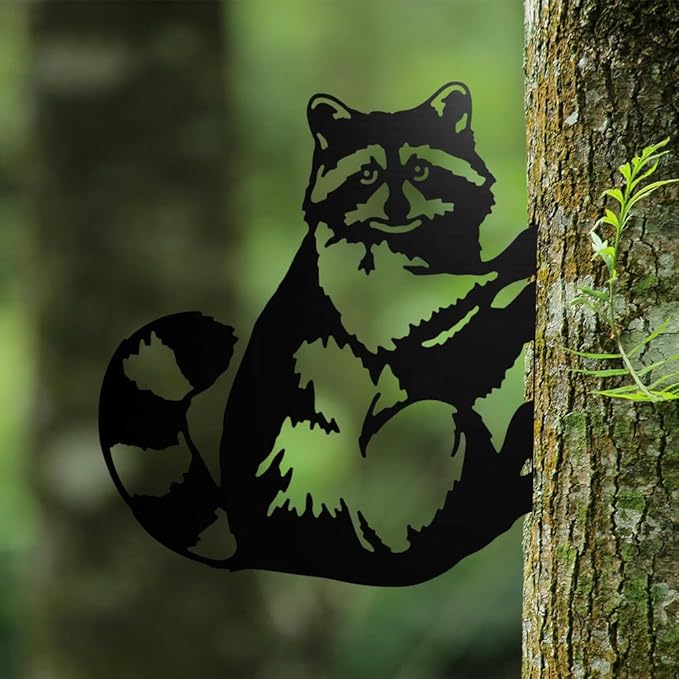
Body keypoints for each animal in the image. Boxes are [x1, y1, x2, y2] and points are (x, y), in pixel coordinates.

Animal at [99, 83, 535, 586]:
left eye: (420, 170)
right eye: (367, 174)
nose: (397, 209)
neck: (412, 241)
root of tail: (257, 543)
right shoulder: (348, 289)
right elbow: (443, 363)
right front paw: (513, 280)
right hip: (343, 506)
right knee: (443, 418)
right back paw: (486, 506)